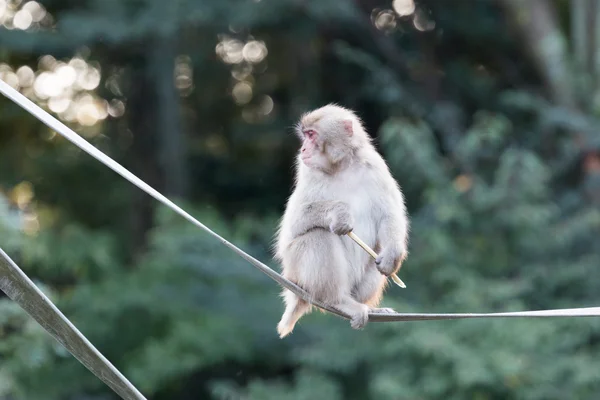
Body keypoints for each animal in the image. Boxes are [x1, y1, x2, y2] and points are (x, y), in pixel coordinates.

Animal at [276, 103, 408, 338]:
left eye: (311, 135)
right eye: (305, 136)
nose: (303, 150)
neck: (342, 166)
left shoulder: (375, 165)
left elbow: (389, 214)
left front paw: (392, 255)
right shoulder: (307, 171)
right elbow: (294, 225)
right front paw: (339, 213)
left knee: (376, 252)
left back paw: (368, 307)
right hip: (295, 272)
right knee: (318, 236)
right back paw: (338, 301)